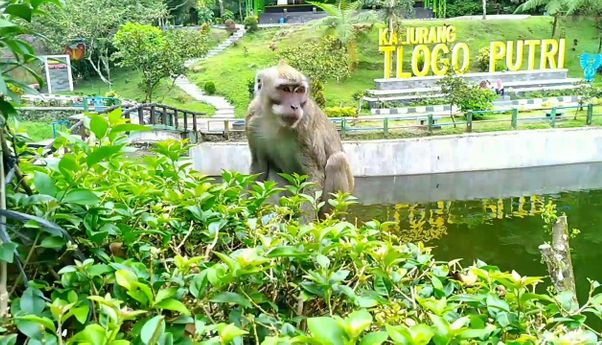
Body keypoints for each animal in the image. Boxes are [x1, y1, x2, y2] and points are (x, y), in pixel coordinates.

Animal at [245, 60, 354, 219]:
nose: (295, 106)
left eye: (299, 91)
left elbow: (314, 173)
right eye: (285, 89)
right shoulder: (251, 120)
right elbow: (259, 166)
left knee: (337, 160)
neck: (275, 120)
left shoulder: (305, 123)